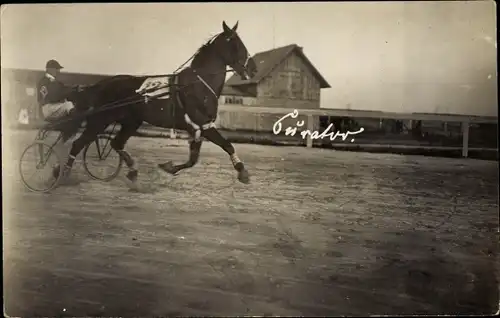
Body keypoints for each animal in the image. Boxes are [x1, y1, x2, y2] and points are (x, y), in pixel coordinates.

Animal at [59, 21, 258, 185]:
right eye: (236, 43)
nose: (253, 69)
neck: (197, 84)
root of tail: (102, 84)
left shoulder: (198, 128)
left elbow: (193, 159)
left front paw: (169, 167)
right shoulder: (204, 125)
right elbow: (227, 145)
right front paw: (242, 172)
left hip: (131, 122)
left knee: (116, 143)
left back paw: (132, 171)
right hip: (100, 120)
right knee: (78, 144)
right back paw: (63, 175)